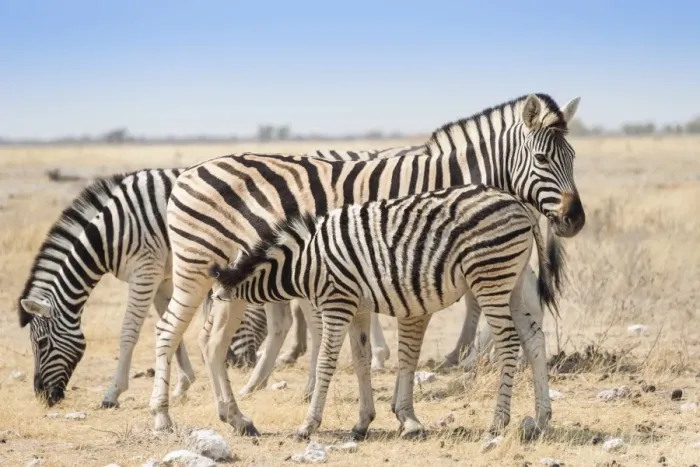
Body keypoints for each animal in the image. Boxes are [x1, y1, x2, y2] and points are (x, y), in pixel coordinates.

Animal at [210, 183, 564, 440]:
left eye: (212, 311)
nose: (215, 347)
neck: (305, 263)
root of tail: (518, 204)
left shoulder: (336, 302)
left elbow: (326, 362)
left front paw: (308, 425)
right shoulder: (358, 308)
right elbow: (361, 360)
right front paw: (362, 423)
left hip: (490, 277)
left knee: (509, 342)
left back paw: (499, 421)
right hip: (512, 282)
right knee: (533, 338)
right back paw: (541, 419)